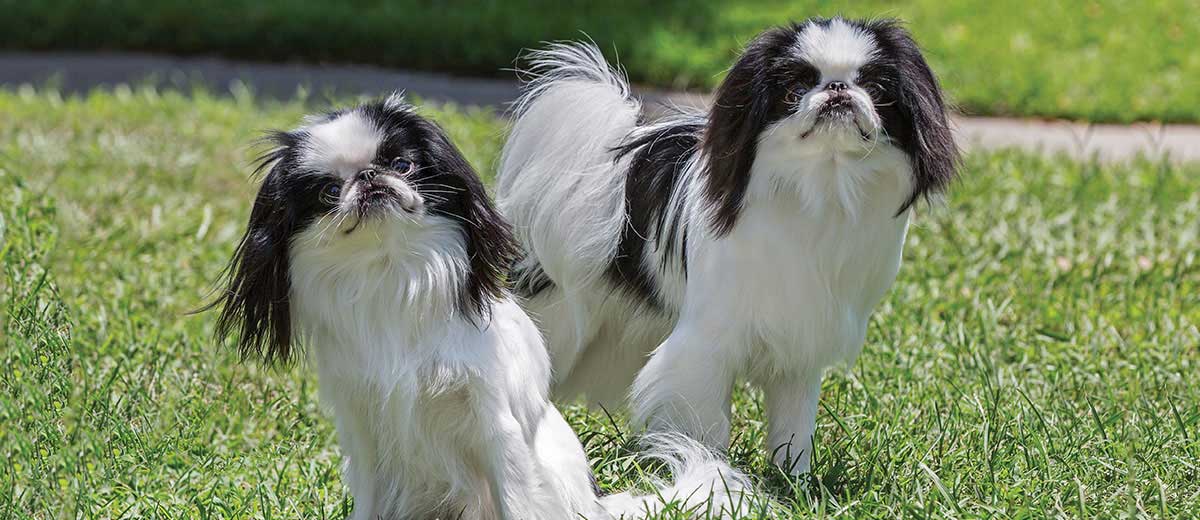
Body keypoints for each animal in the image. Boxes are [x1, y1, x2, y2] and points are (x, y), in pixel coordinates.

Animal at [207, 94, 753, 518]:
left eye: (401, 165)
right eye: (325, 191)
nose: (368, 178)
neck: (391, 272)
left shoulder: (495, 424)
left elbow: (514, 498)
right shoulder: (363, 429)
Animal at [494, 18, 955, 475]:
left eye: (876, 90)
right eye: (794, 91)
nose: (838, 88)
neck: (823, 186)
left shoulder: (800, 349)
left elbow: (794, 424)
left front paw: (795, 481)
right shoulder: (705, 345)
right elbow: (707, 422)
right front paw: (706, 469)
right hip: (561, 322)